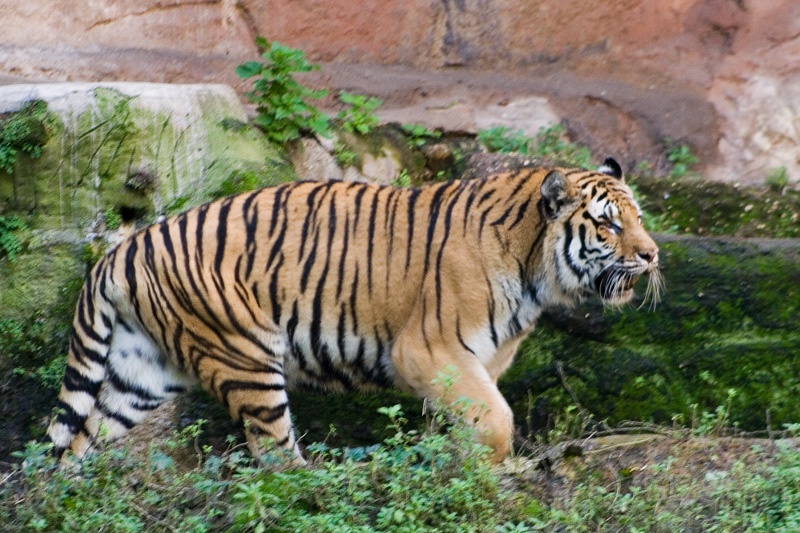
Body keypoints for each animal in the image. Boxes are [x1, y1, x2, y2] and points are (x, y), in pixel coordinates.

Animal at [45, 157, 661, 465]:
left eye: (638, 217)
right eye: (609, 225)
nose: (653, 254)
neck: (535, 269)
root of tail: (123, 249)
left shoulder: (476, 365)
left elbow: (461, 421)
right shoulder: (429, 351)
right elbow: (495, 422)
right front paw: (489, 477)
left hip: (142, 371)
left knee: (81, 439)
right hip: (245, 357)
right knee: (273, 455)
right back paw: (308, 490)